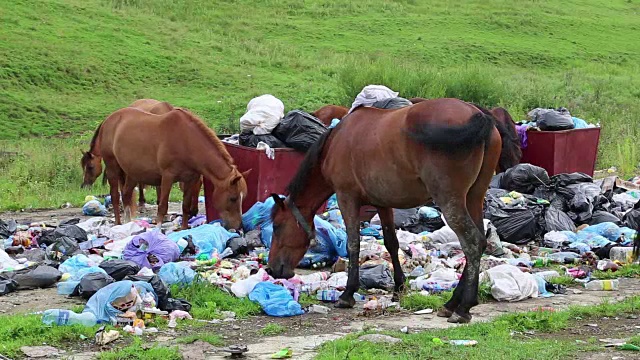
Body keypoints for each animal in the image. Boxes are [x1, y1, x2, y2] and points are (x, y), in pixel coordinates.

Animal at [268, 97, 502, 324]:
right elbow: (391, 242)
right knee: (480, 241)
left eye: (277, 226)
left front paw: (348, 294)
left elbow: (354, 244)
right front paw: (399, 287)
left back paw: (463, 307)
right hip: (474, 197)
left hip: (450, 200)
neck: (336, 141)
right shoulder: (382, 202)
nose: (271, 269)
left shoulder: (347, 198)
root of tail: (479, 116)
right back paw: (452, 303)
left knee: (472, 242)